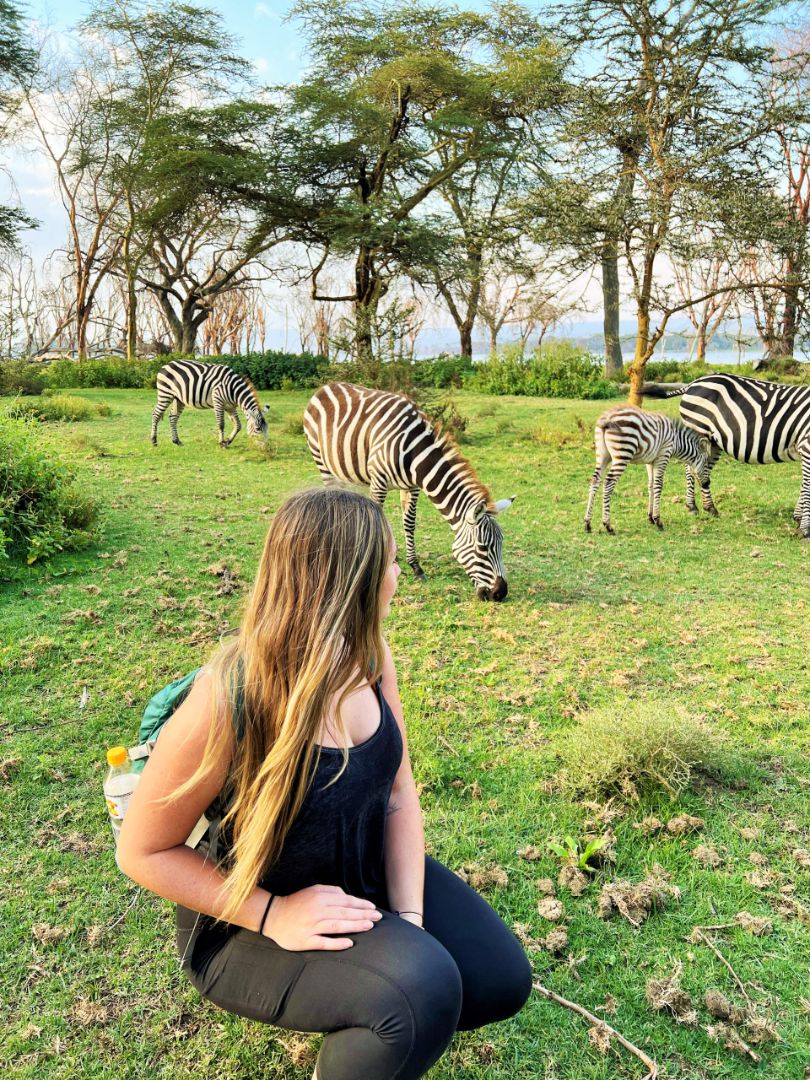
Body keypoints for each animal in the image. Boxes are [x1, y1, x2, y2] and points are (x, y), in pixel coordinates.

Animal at [303, 382, 515, 601]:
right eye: (482, 548)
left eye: (502, 543)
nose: (500, 593)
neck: (415, 453)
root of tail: (327, 385)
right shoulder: (379, 481)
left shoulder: (411, 487)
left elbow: (409, 524)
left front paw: (416, 567)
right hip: (321, 460)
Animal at [585, 405, 711, 534]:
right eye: (707, 464)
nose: (707, 483)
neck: (676, 441)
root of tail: (606, 418)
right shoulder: (663, 456)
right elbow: (658, 485)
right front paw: (658, 521)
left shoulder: (650, 461)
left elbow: (651, 485)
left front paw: (650, 517)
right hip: (623, 453)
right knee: (609, 483)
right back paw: (608, 525)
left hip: (603, 455)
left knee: (595, 480)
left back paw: (587, 523)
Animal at [644, 374, 810, 537]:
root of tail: (695, 382)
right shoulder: (806, 447)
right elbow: (807, 487)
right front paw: (805, 529)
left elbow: (803, 485)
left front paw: (798, 517)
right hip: (698, 430)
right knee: (691, 469)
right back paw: (692, 506)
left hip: (713, 442)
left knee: (703, 471)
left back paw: (709, 507)